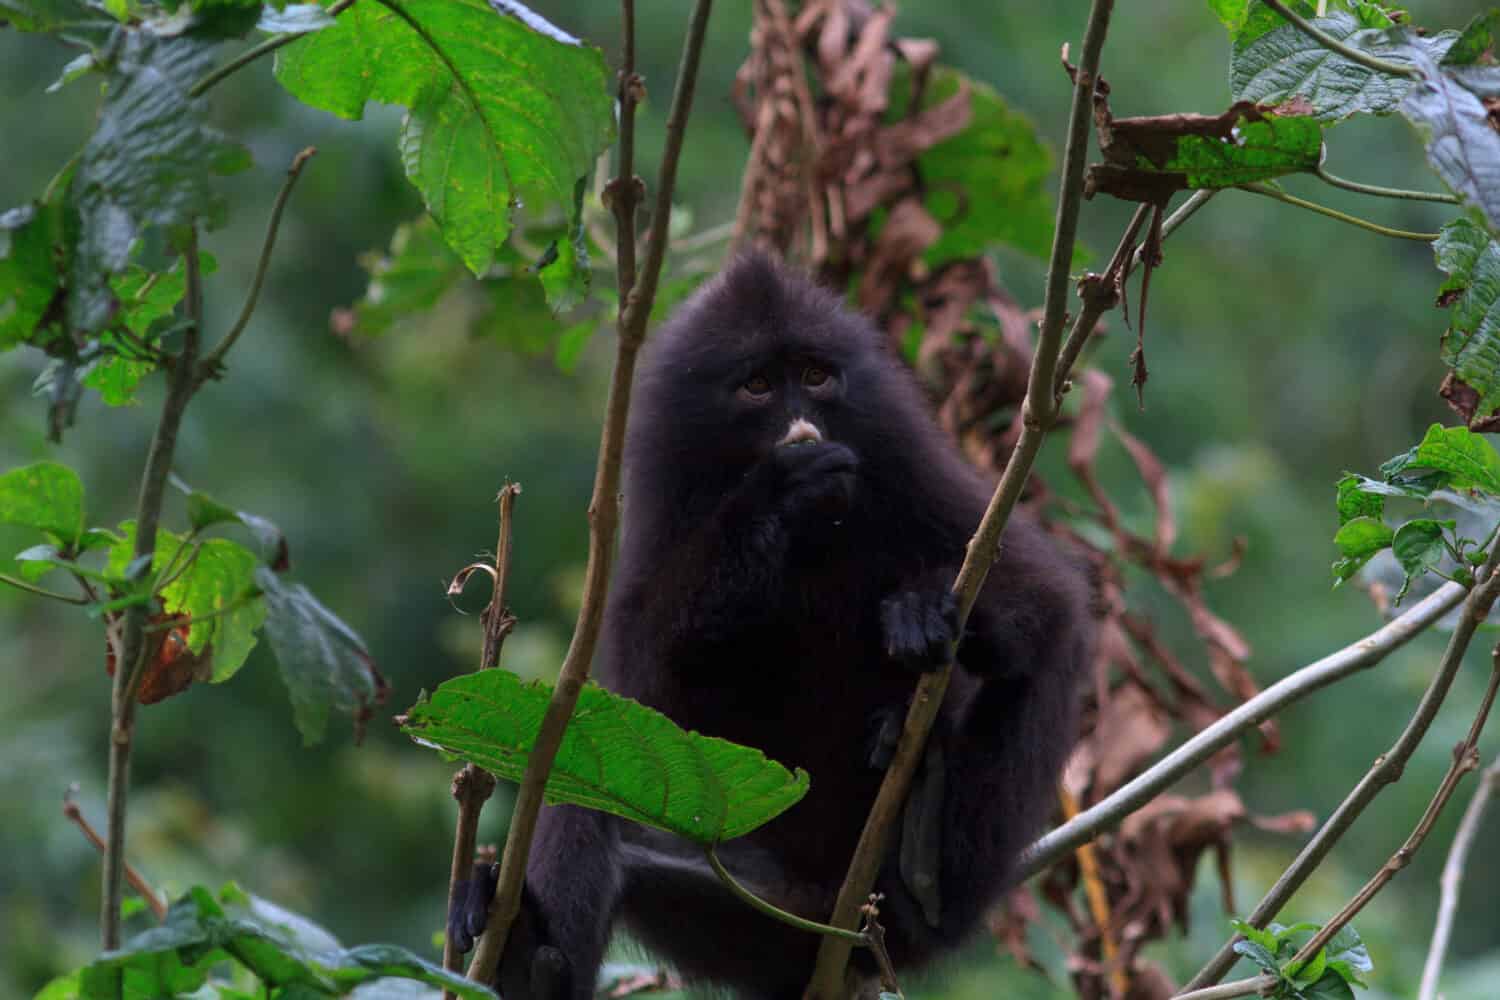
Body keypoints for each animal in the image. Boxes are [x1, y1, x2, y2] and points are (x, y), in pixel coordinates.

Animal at [456, 253, 1094, 1000]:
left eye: (815, 376)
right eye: (758, 386)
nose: (801, 422)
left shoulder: (897, 449)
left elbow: (1047, 599)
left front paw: (923, 607)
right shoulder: (663, 485)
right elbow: (646, 683)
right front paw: (776, 494)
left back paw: (927, 856)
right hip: (766, 918)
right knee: (584, 794)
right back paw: (528, 959)